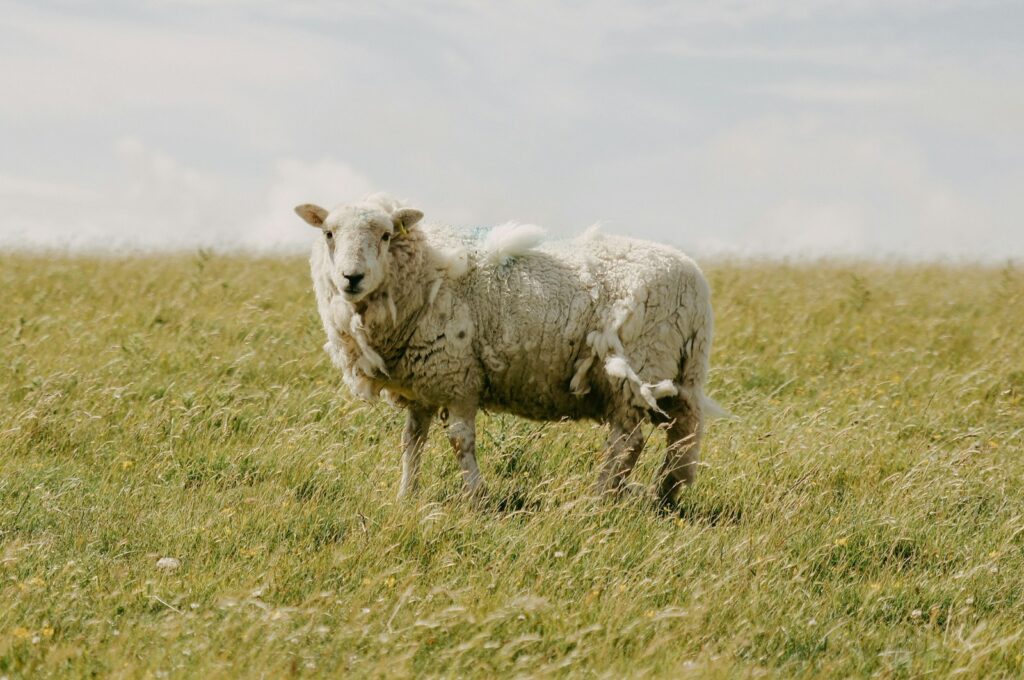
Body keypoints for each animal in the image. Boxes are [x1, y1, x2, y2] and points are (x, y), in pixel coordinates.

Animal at [294, 193, 725, 505]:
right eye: (328, 234)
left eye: (385, 236)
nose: (351, 277)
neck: (425, 273)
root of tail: (697, 285)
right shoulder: (422, 384)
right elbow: (411, 442)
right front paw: (405, 496)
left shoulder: (457, 376)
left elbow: (459, 441)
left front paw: (476, 498)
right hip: (677, 375)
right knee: (681, 438)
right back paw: (664, 496)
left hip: (638, 370)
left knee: (628, 442)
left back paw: (600, 499)